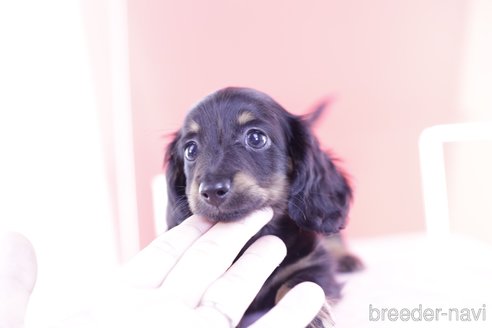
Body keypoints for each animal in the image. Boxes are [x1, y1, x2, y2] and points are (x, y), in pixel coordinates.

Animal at [166, 87, 362, 328]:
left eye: (256, 138)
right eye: (190, 150)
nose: (211, 190)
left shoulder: (314, 265)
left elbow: (295, 285)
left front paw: (312, 316)